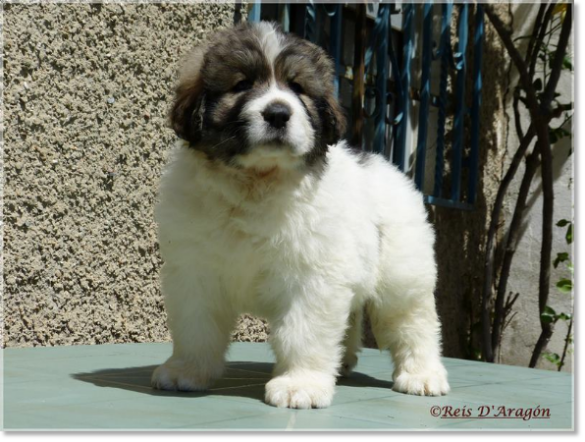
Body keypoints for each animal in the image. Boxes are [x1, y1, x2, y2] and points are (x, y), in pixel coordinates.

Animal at [153, 20, 450, 408]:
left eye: (297, 87)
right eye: (242, 84)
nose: (278, 113)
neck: (256, 182)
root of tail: (390, 169)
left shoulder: (314, 278)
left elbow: (304, 332)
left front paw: (301, 384)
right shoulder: (193, 270)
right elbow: (195, 326)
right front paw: (186, 371)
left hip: (402, 276)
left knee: (413, 323)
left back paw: (422, 375)